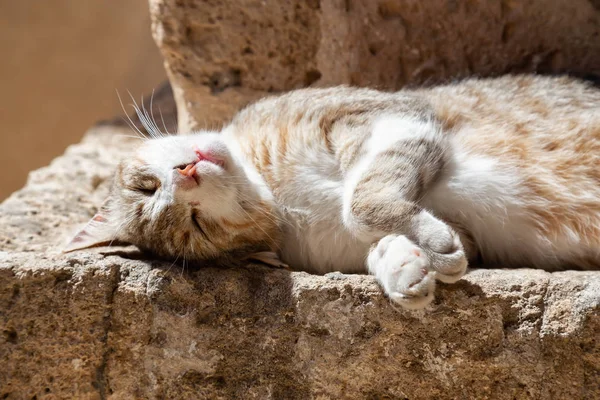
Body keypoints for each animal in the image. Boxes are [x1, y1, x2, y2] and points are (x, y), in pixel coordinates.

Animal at [67, 75, 600, 310]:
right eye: (197, 225)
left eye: (145, 185)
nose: (187, 172)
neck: (275, 187)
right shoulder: (469, 236)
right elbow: (379, 235)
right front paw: (404, 267)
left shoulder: (387, 114)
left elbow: (360, 201)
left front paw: (415, 246)